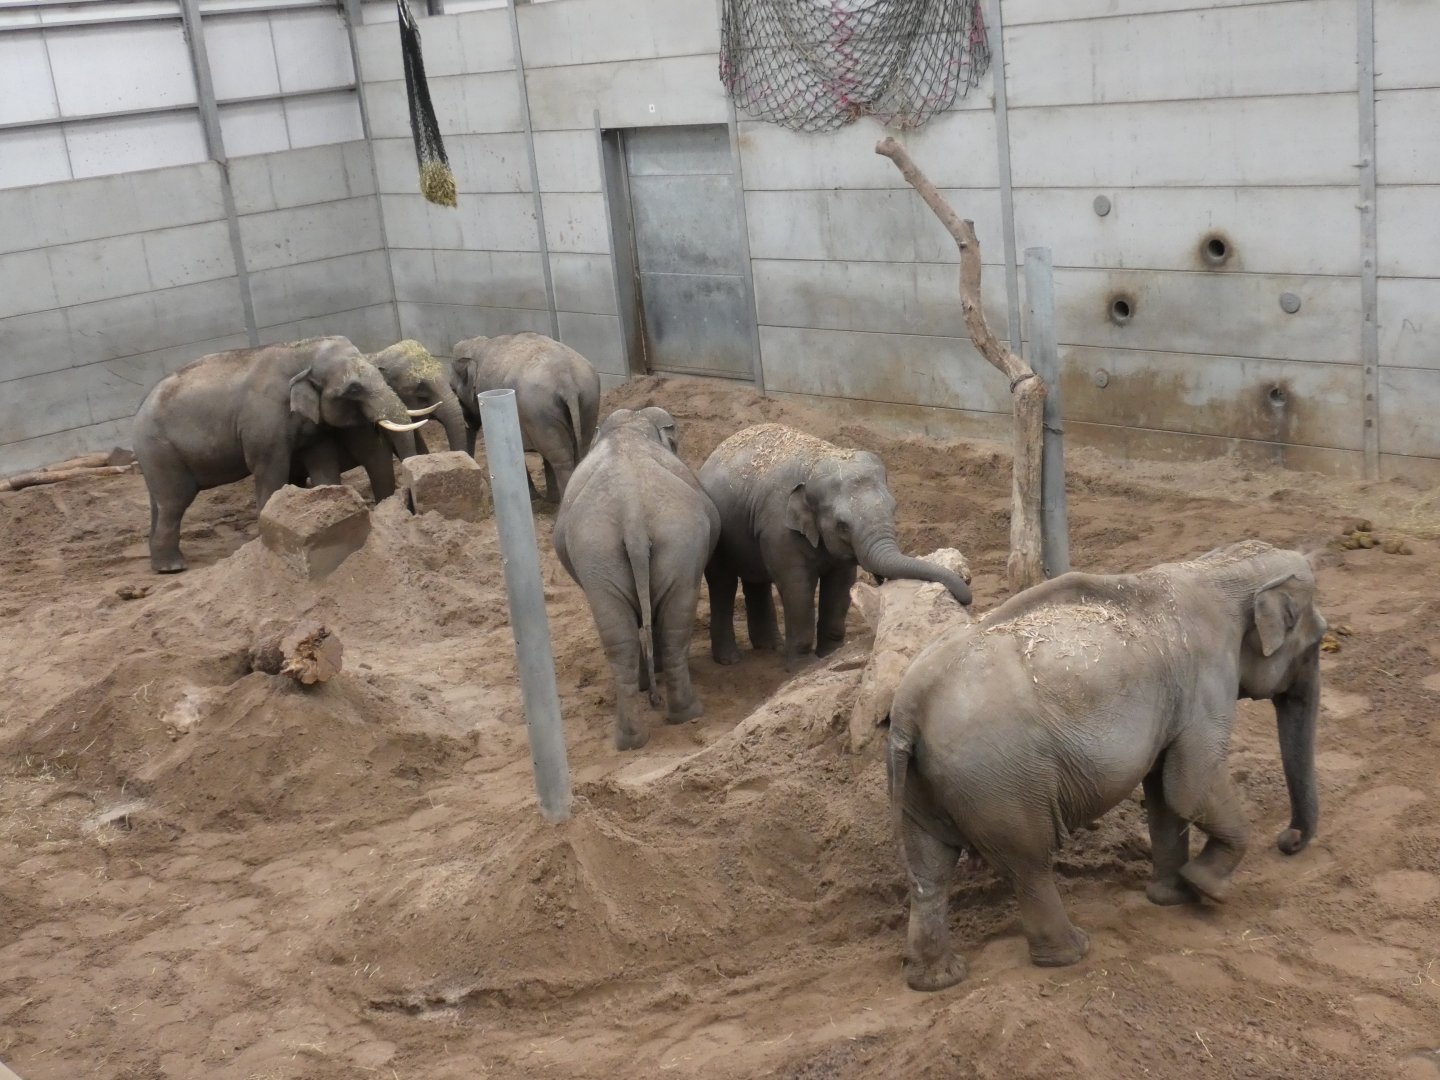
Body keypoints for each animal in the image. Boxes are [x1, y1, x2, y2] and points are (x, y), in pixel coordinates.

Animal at [133, 336, 430, 573]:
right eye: (354, 389)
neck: (301, 351)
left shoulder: (313, 429)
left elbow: (321, 462)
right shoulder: (263, 423)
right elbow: (271, 469)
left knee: (160, 504)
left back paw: (161, 563)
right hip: (161, 451)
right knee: (175, 501)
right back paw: (172, 568)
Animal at [448, 332, 601, 502]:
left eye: (453, 389)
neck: (478, 344)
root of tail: (567, 381)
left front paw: (534, 498)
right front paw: (548, 499)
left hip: (539, 410)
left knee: (561, 459)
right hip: (585, 402)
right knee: (575, 449)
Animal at [553, 407, 720, 751]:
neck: (630, 426)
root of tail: (631, 514)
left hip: (610, 549)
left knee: (631, 637)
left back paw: (645, 729)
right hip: (664, 541)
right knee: (661, 630)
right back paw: (672, 718)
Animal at [698, 423, 973, 671]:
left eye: (894, 508)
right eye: (842, 525)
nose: (966, 593)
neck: (818, 460)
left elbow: (841, 585)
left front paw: (831, 655)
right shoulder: (779, 530)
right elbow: (797, 588)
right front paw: (804, 667)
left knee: (756, 581)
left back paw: (771, 647)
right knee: (723, 584)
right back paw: (730, 660)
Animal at [886, 540, 1326, 991]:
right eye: (1317, 644)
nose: (1288, 841)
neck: (1218, 569)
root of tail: (908, 710)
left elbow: (1164, 792)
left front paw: (1172, 897)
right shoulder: (1207, 679)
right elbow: (1192, 785)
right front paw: (1207, 888)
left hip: (925, 781)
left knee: (929, 870)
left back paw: (938, 978)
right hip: (1000, 779)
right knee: (1028, 861)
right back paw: (1072, 952)